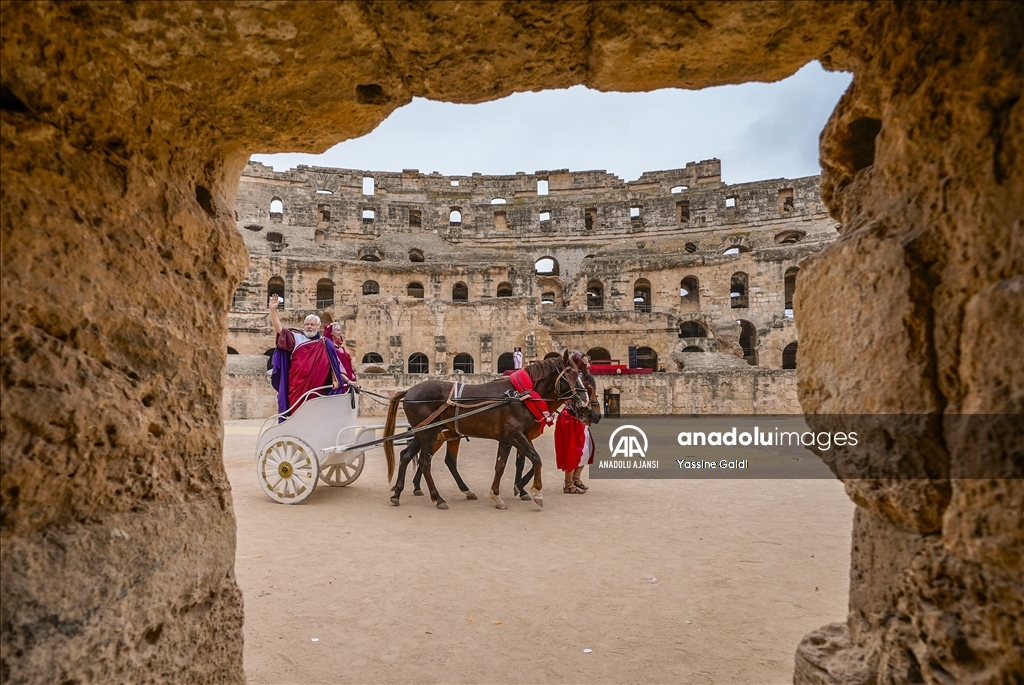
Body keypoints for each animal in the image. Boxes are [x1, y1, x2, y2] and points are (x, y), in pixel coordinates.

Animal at [382, 352, 593, 507]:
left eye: (580, 374)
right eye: (571, 374)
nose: (585, 403)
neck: (521, 395)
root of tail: (410, 390)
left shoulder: (508, 438)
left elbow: (502, 465)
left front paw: (497, 495)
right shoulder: (516, 435)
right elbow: (536, 459)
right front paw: (536, 492)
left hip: (424, 432)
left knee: (406, 455)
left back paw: (398, 493)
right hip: (429, 433)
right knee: (425, 462)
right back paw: (437, 498)